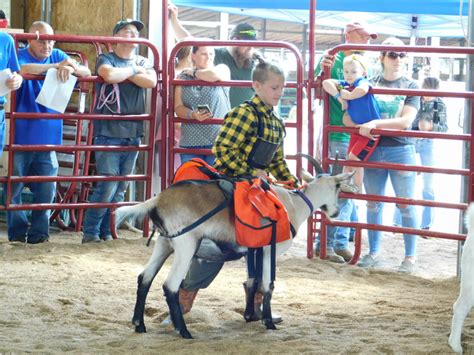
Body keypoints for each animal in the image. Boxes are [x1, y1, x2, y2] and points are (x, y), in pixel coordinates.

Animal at [114, 156, 352, 340]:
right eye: (338, 187)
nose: (336, 212)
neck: (294, 205)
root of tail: (159, 200)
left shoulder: (252, 250)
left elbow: (252, 281)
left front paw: (250, 316)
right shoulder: (270, 250)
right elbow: (267, 285)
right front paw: (268, 322)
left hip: (164, 243)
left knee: (144, 278)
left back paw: (139, 324)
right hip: (186, 244)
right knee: (170, 286)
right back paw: (184, 331)